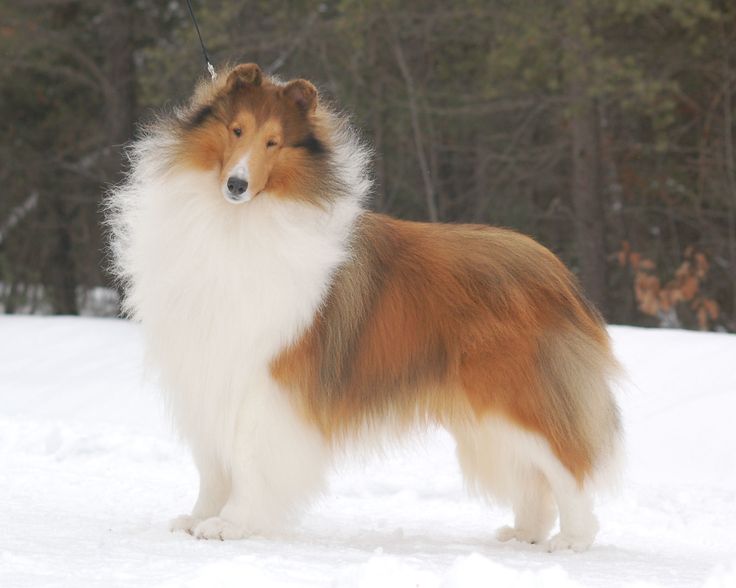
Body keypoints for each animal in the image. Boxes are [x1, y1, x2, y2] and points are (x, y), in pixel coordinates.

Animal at [105, 63, 620, 552]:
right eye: (236, 130)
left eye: (274, 142)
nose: (236, 184)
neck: (237, 222)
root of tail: (558, 274)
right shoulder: (207, 370)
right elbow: (212, 463)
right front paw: (198, 518)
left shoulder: (265, 379)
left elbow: (248, 458)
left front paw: (231, 524)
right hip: (485, 416)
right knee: (531, 476)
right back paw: (525, 532)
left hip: (516, 396)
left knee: (566, 467)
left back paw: (573, 539)